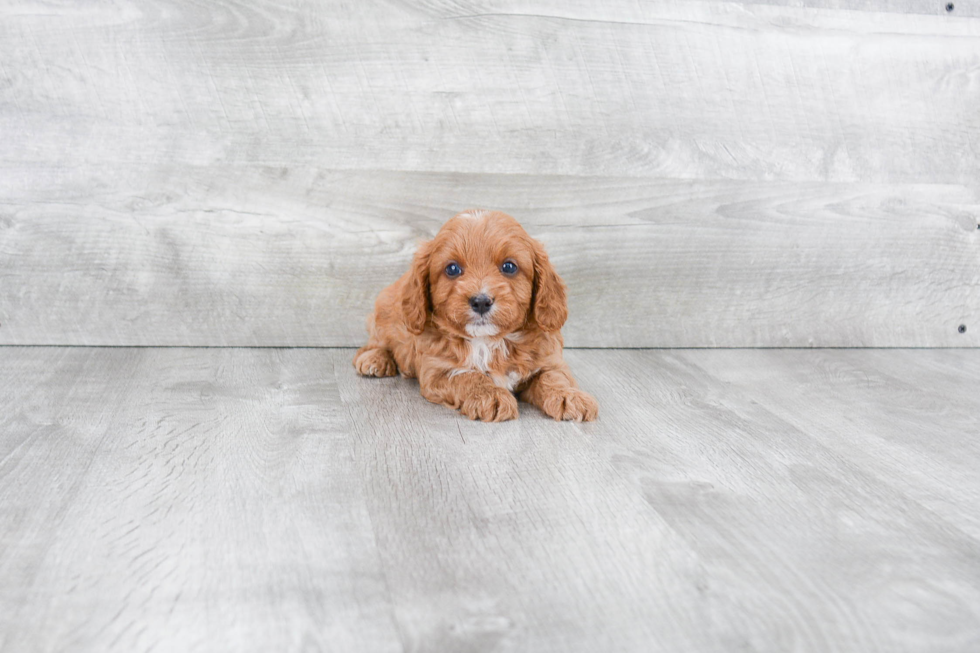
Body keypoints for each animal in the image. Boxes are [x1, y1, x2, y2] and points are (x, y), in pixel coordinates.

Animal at [352, 210, 596, 422]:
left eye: (509, 266)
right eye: (452, 269)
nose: (480, 301)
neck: (489, 342)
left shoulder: (549, 360)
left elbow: (554, 377)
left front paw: (569, 396)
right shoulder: (437, 370)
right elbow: (468, 376)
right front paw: (491, 395)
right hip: (385, 311)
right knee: (374, 343)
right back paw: (375, 359)